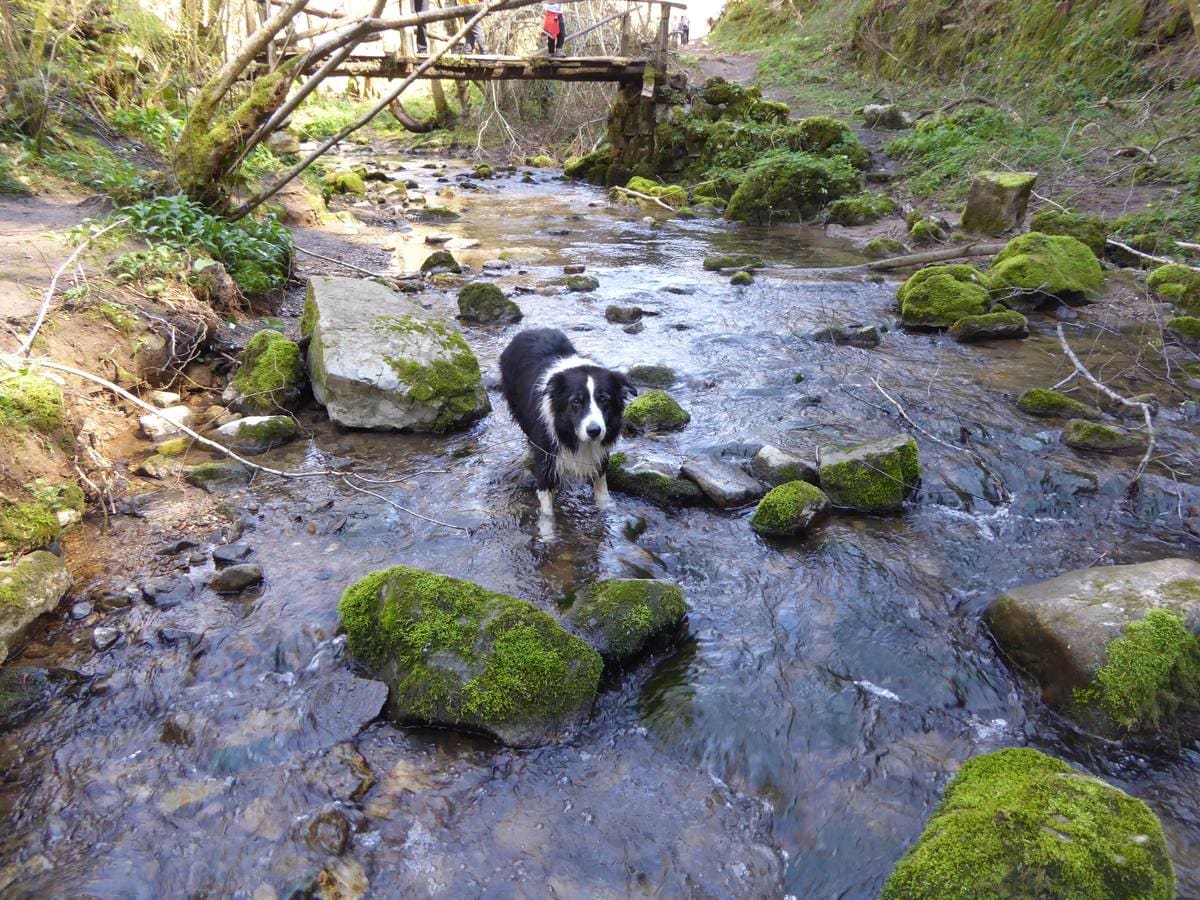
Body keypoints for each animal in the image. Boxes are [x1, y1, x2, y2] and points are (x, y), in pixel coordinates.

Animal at [499, 328, 638, 528]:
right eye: (576, 401)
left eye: (604, 399)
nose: (594, 431)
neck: (571, 433)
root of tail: (530, 330)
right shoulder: (547, 460)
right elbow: (547, 512)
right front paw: (548, 532)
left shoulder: (600, 454)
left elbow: (602, 490)